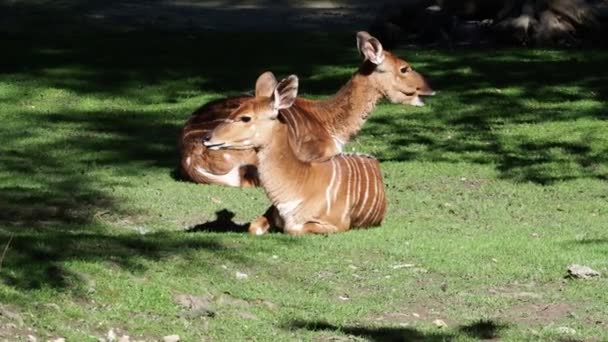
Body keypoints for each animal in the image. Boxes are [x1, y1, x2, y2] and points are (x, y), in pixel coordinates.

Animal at [203, 71, 384, 234]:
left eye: (245, 118)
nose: (207, 138)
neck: (300, 185)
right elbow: (253, 227)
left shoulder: (336, 225)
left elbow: (293, 229)